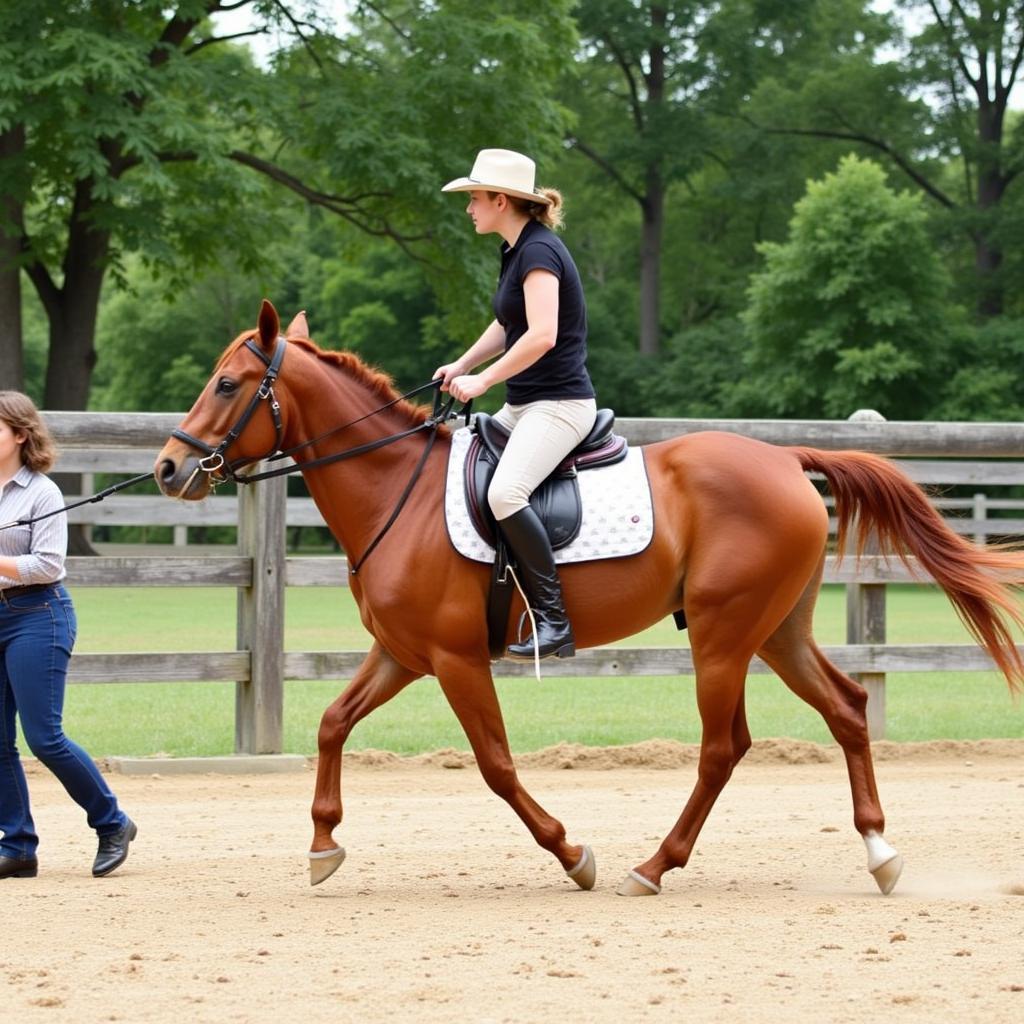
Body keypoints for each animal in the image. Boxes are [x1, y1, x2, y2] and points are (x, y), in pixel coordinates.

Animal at [153, 301, 1024, 897]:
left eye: (226, 384)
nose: (167, 468)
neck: (393, 489)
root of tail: (783, 461)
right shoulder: (403, 655)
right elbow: (334, 723)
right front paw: (323, 847)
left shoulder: (455, 660)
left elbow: (497, 765)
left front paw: (573, 854)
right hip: (777, 630)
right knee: (845, 708)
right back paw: (880, 854)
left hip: (723, 635)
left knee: (723, 747)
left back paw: (654, 865)